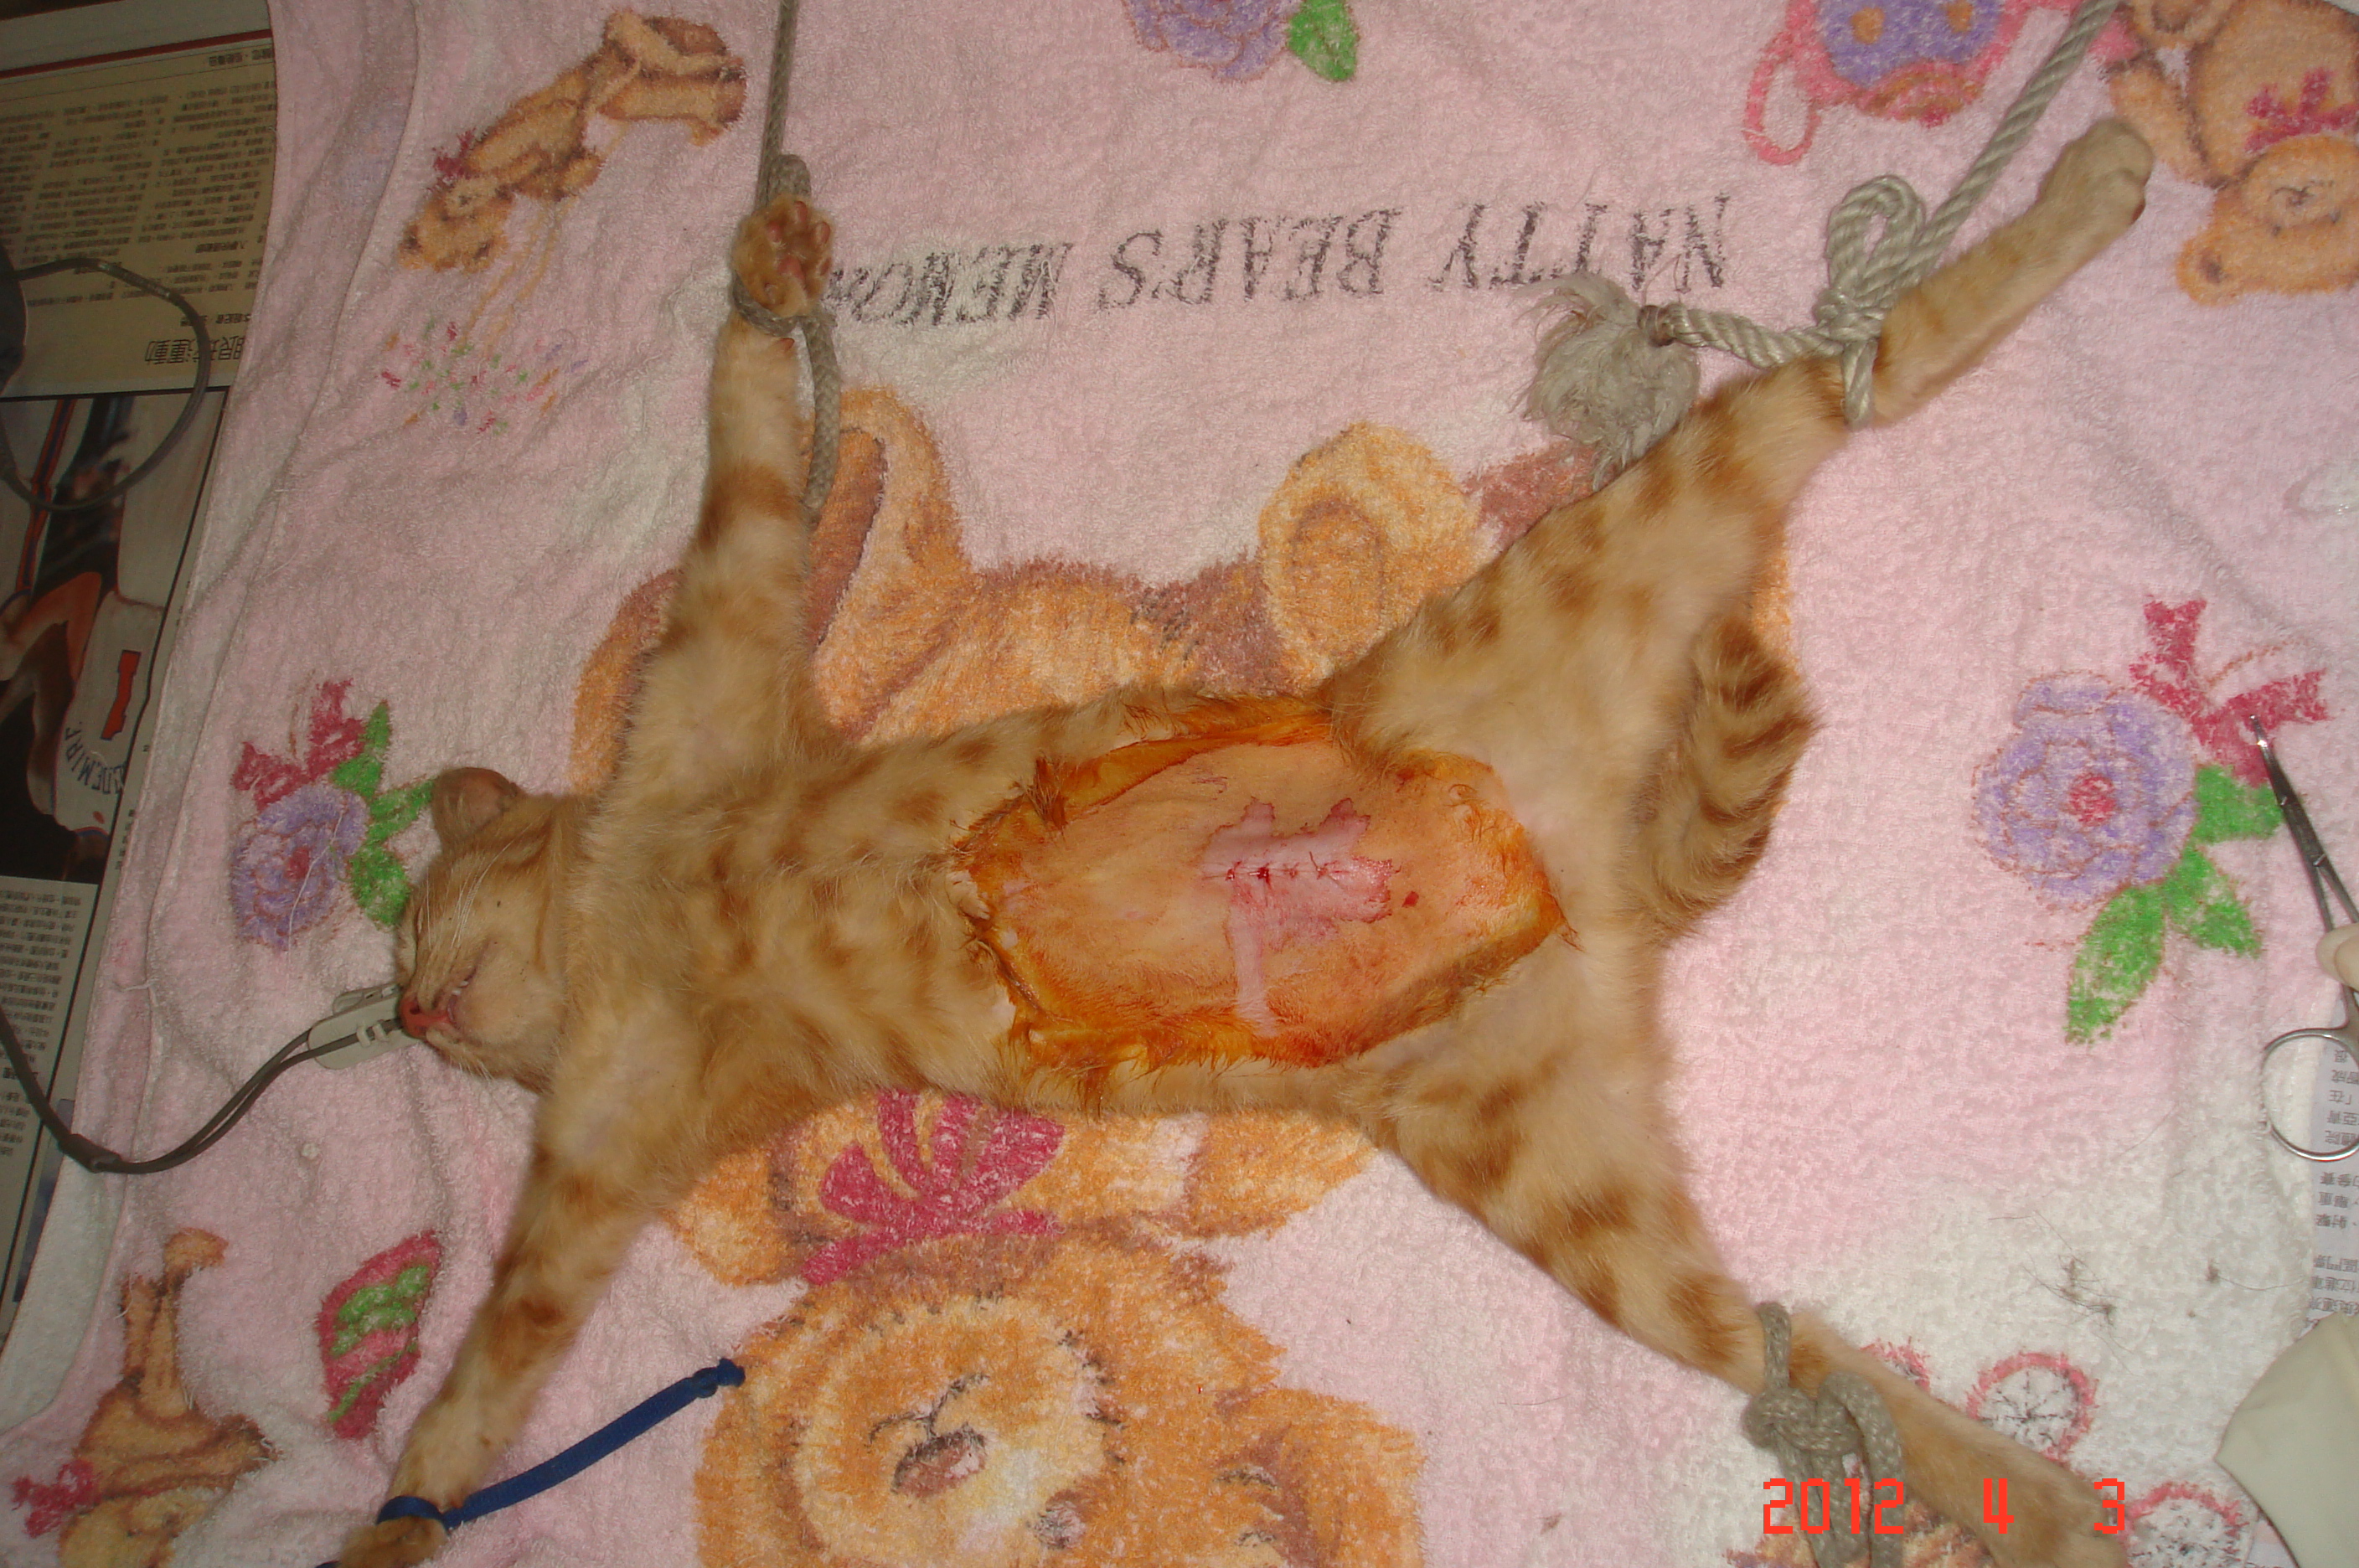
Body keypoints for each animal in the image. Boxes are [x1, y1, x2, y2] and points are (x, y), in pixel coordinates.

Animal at [341, 120, 2155, 1568]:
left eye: (414, 943)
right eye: (414, 995)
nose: (413, 1015)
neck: (635, 887)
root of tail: (1581, 850)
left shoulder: (708, 681)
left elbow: (745, 435)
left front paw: (767, 269)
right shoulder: (618, 1121)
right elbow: (478, 1392)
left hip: (1627, 527)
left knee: (1869, 364)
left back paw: (2092, 181)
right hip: (1551, 1171)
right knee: (1779, 1350)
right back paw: (2039, 1504)